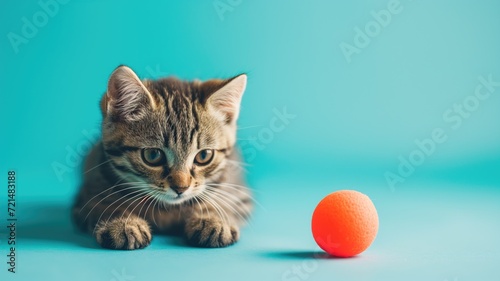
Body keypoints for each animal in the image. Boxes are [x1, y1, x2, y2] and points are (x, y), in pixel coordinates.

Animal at [72, 65, 252, 249]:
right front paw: (121, 222)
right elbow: (102, 204)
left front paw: (213, 219)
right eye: (153, 155)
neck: (167, 209)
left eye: (204, 155)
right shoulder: (84, 197)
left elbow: (222, 200)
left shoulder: (240, 195)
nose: (181, 188)